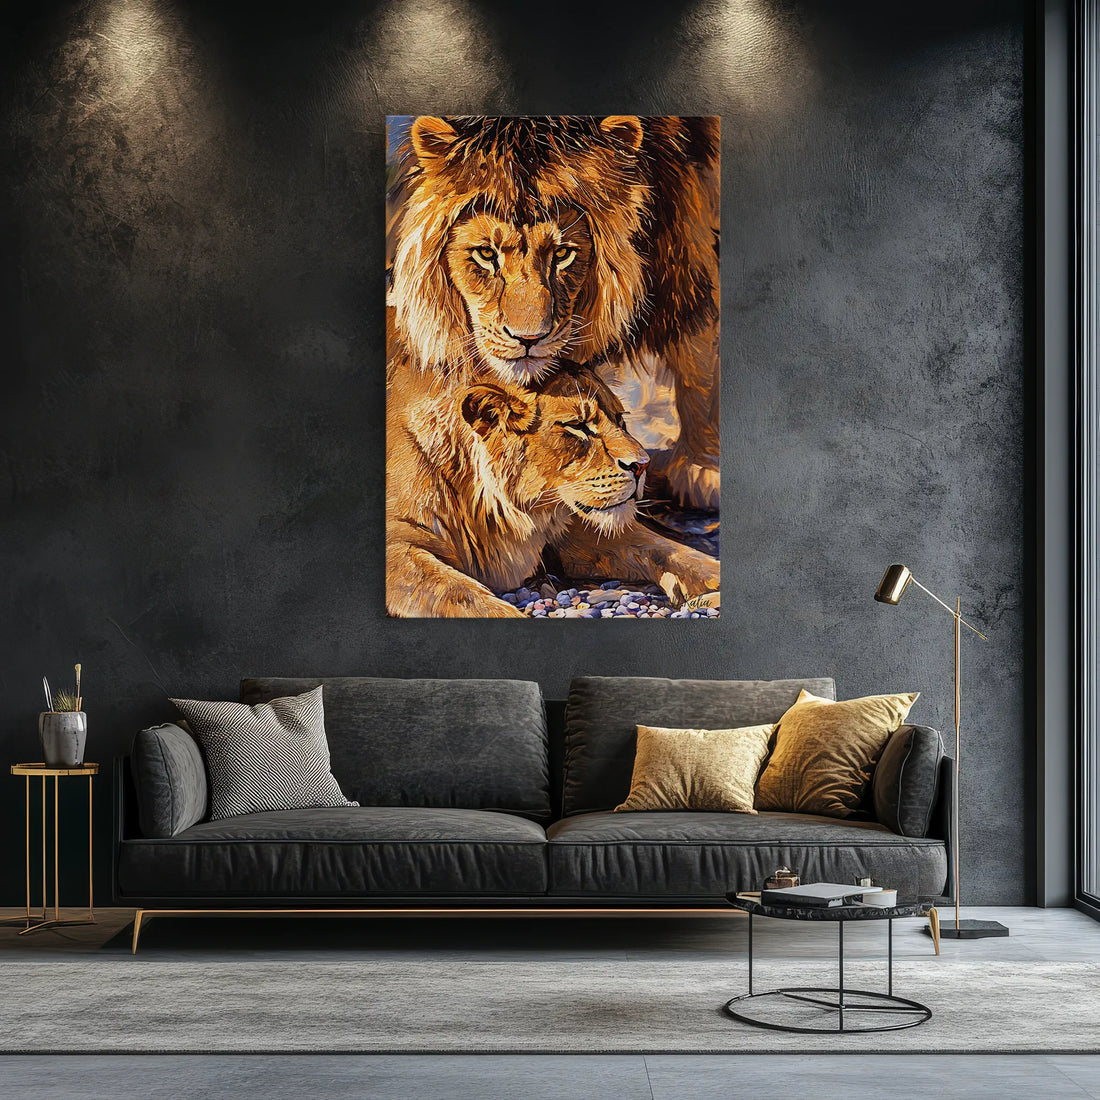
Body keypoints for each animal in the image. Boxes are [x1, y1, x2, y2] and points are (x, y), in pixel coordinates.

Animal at [386, 115, 720, 509]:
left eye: (562, 254)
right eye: (486, 254)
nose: (528, 339)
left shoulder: (692, 251)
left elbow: (699, 365)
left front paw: (702, 468)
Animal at [386, 358, 720, 619]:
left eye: (620, 420)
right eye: (578, 426)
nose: (642, 465)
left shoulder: (571, 528)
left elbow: (664, 548)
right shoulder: (397, 545)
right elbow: (464, 598)